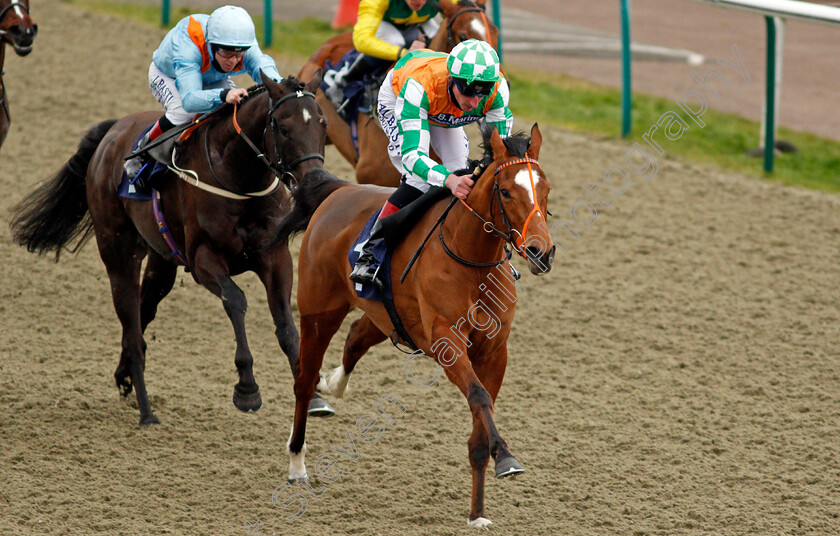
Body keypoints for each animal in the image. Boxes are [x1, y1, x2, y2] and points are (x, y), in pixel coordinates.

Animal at [9, 73, 334, 428]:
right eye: (284, 127)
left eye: (323, 125)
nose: (314, 181)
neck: (238, 177)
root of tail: (111, 133)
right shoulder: (204, 258)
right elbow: (235, 301)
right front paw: (247, 389)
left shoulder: (274, 258)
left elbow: (286, 323)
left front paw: (313, 396)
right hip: (118, 252)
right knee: (131, 324)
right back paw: (146, 411)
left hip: (161, 261)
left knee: (142, 312)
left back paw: (124, 375)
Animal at [274, 124, 556, 524]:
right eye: (505, 191)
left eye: (546, 190)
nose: (540, 251)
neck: (471, 258)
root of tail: (339, 192)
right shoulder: (447, 344)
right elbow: (479, 397)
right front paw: (506, 456)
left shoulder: (494, 352)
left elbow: (479, 424)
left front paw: (478, 513)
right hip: (319, 311)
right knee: (303, 379)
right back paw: (297, 462)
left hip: (384, 315)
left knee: (356, 337)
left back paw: (334, 384)